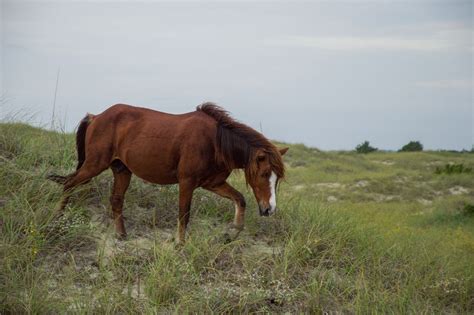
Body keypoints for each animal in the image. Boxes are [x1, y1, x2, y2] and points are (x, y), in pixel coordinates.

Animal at [47, 103, 288, 244]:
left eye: (277, 179)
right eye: (264, 173)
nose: (269, 209)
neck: (216, 142)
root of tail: (96, 117)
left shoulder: (212, 183)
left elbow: (240, 199)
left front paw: (233, 231)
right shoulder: (187, 182)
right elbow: (184, 213)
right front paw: (179, 244)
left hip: (122, 170)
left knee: (115, 200)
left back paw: (121, 235)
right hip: (94, 165)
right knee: (69, 184)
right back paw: (56, 219)